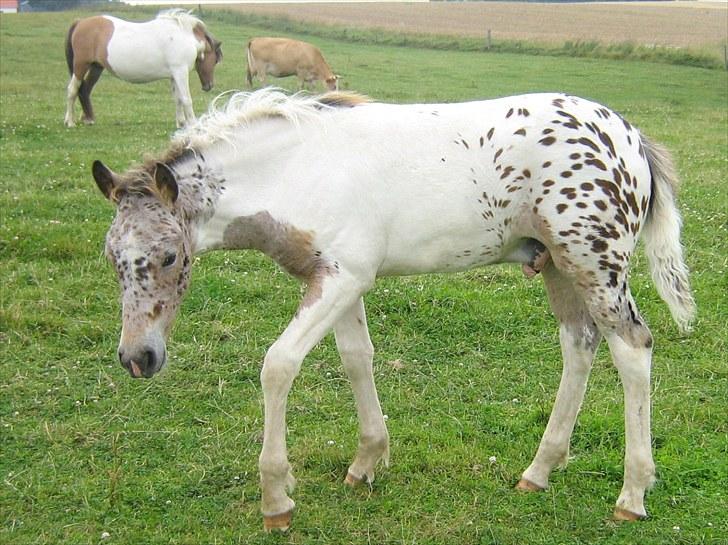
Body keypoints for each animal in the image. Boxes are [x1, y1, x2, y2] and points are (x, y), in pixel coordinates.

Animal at [62, 9, 222, 128]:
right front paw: (193, 124)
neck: (183, 36)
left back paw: (88, 119)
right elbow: (186, 99)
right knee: (72, 90)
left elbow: (178, 99)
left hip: (96, 67)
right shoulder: (180, 72)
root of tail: (80, 22)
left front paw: (181, 123)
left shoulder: (174, 75)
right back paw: (70, 122)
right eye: (215, 60)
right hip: (81, 66)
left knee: (85, 90)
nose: (209, 86)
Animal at [91, 90, 692, 532]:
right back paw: (540, 470)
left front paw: (276, 498)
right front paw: (366, 463)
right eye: (111, 255)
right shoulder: (340, 279)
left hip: (595, 262)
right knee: (579, 345)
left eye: (170, 256)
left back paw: (632, 493)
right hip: (556, 266)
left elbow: (278, 365)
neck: (295, 171)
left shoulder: (341, 278)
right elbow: (357, 358)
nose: (138, 357)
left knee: (632, 348)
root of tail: (632, 138)